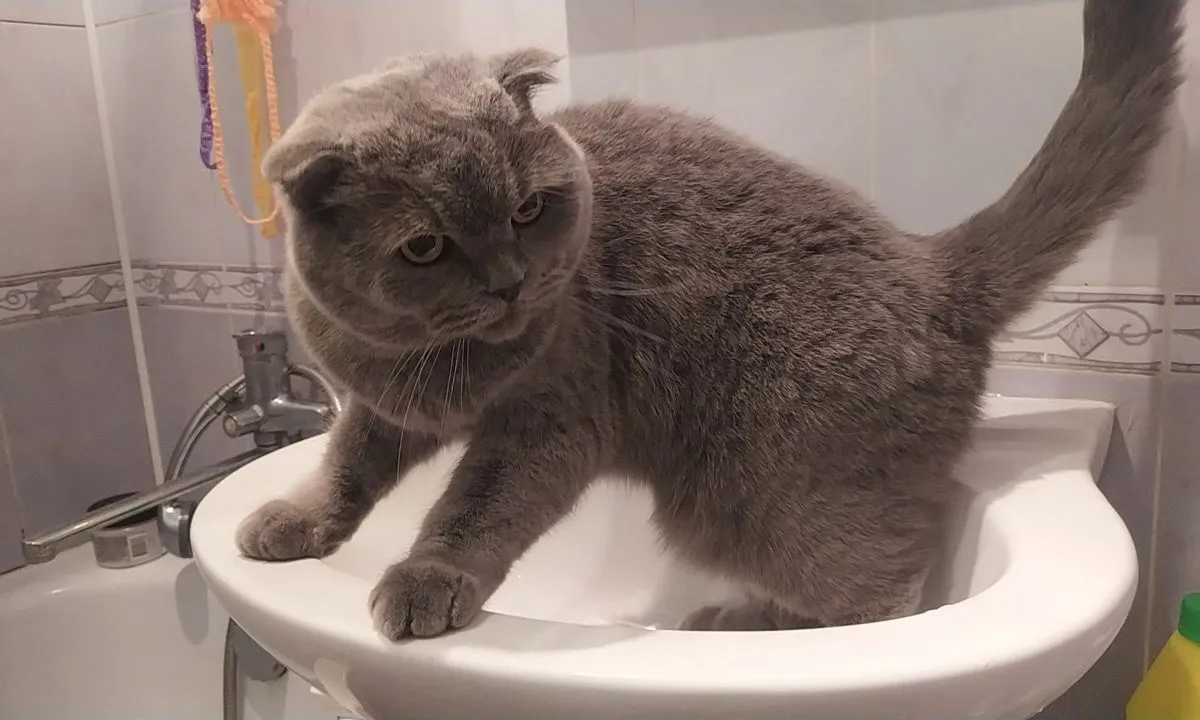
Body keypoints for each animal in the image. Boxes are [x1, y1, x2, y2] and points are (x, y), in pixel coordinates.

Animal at [236, 0, 1184, 639]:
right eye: (426, 247)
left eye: (529, 209)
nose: (510, 283)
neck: (436, 365)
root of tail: (930, 263)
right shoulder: (378, 402)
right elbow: (345, 463)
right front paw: (291, 520)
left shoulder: (554, 418)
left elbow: (477, 504)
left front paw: (426, 580)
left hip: (756, 492)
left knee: (882, 596)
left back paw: (748, 625)